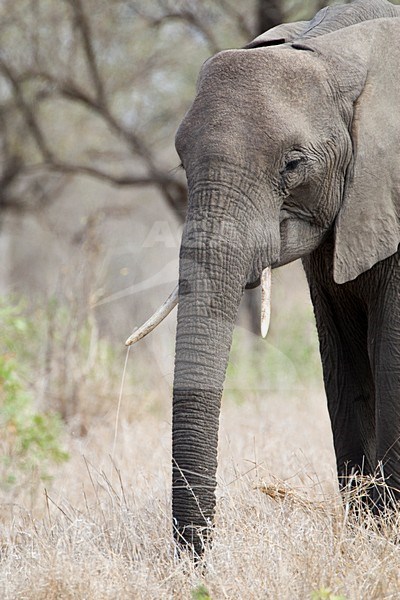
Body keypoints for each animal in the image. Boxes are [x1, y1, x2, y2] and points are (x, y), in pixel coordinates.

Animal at [126, 0, 400, 556]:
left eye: (293, 164)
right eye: (181, 162)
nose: (198, 561)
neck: (336, 49)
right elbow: (343, 366)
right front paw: (370, 533)